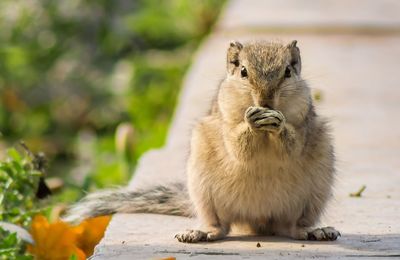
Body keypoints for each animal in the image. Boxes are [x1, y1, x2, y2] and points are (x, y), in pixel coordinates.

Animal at [66, 39, 340, 243]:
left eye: (288, 71)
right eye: (243, 72)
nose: (265, 101)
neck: (265, 133)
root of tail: (258, 222)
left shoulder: (304, 123)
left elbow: (293, 146)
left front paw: (279, 123)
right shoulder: (225, 119)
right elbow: (237, 146)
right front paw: (250, 122)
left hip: (314, 192)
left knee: (291, 227)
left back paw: (313, 230)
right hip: (204, 191)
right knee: (221, 227)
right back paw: (201, 232)